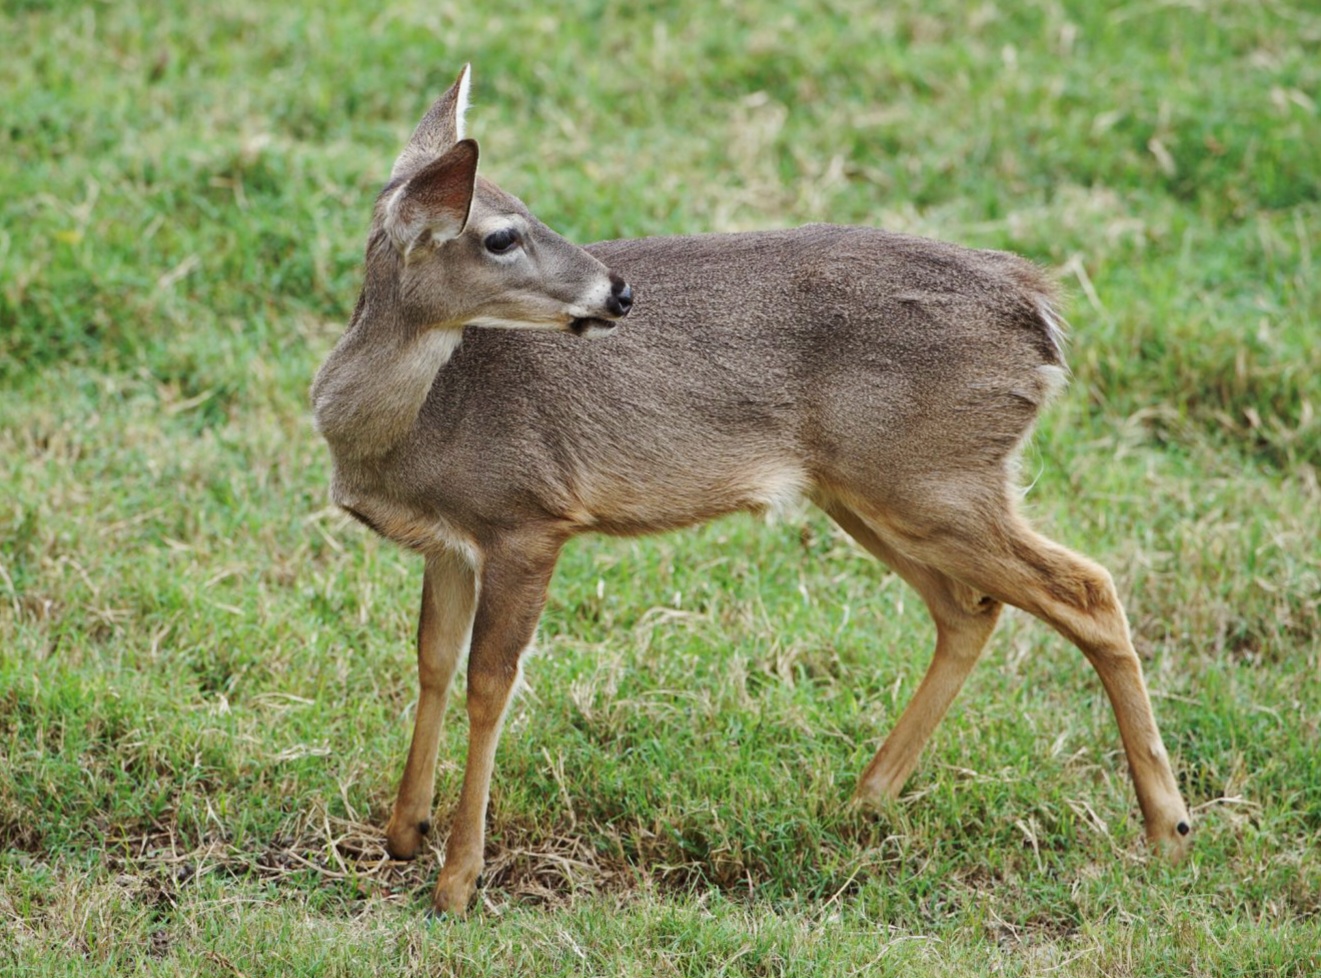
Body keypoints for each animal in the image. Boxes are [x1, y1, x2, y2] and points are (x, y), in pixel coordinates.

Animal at [311, 65, 1192, 915]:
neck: (416, 428)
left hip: (933, 476)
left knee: (1085, 587)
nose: (618, 292)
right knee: (968, 609)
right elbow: (430, 660)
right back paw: (865, 798)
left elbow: (489, 683)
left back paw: (1167, 827)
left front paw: (457, 882)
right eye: (500, 234)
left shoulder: (529, 516)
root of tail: (1038, 311)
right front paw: (405, 831)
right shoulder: (449, 544)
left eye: (523, 213)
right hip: (876, 490)